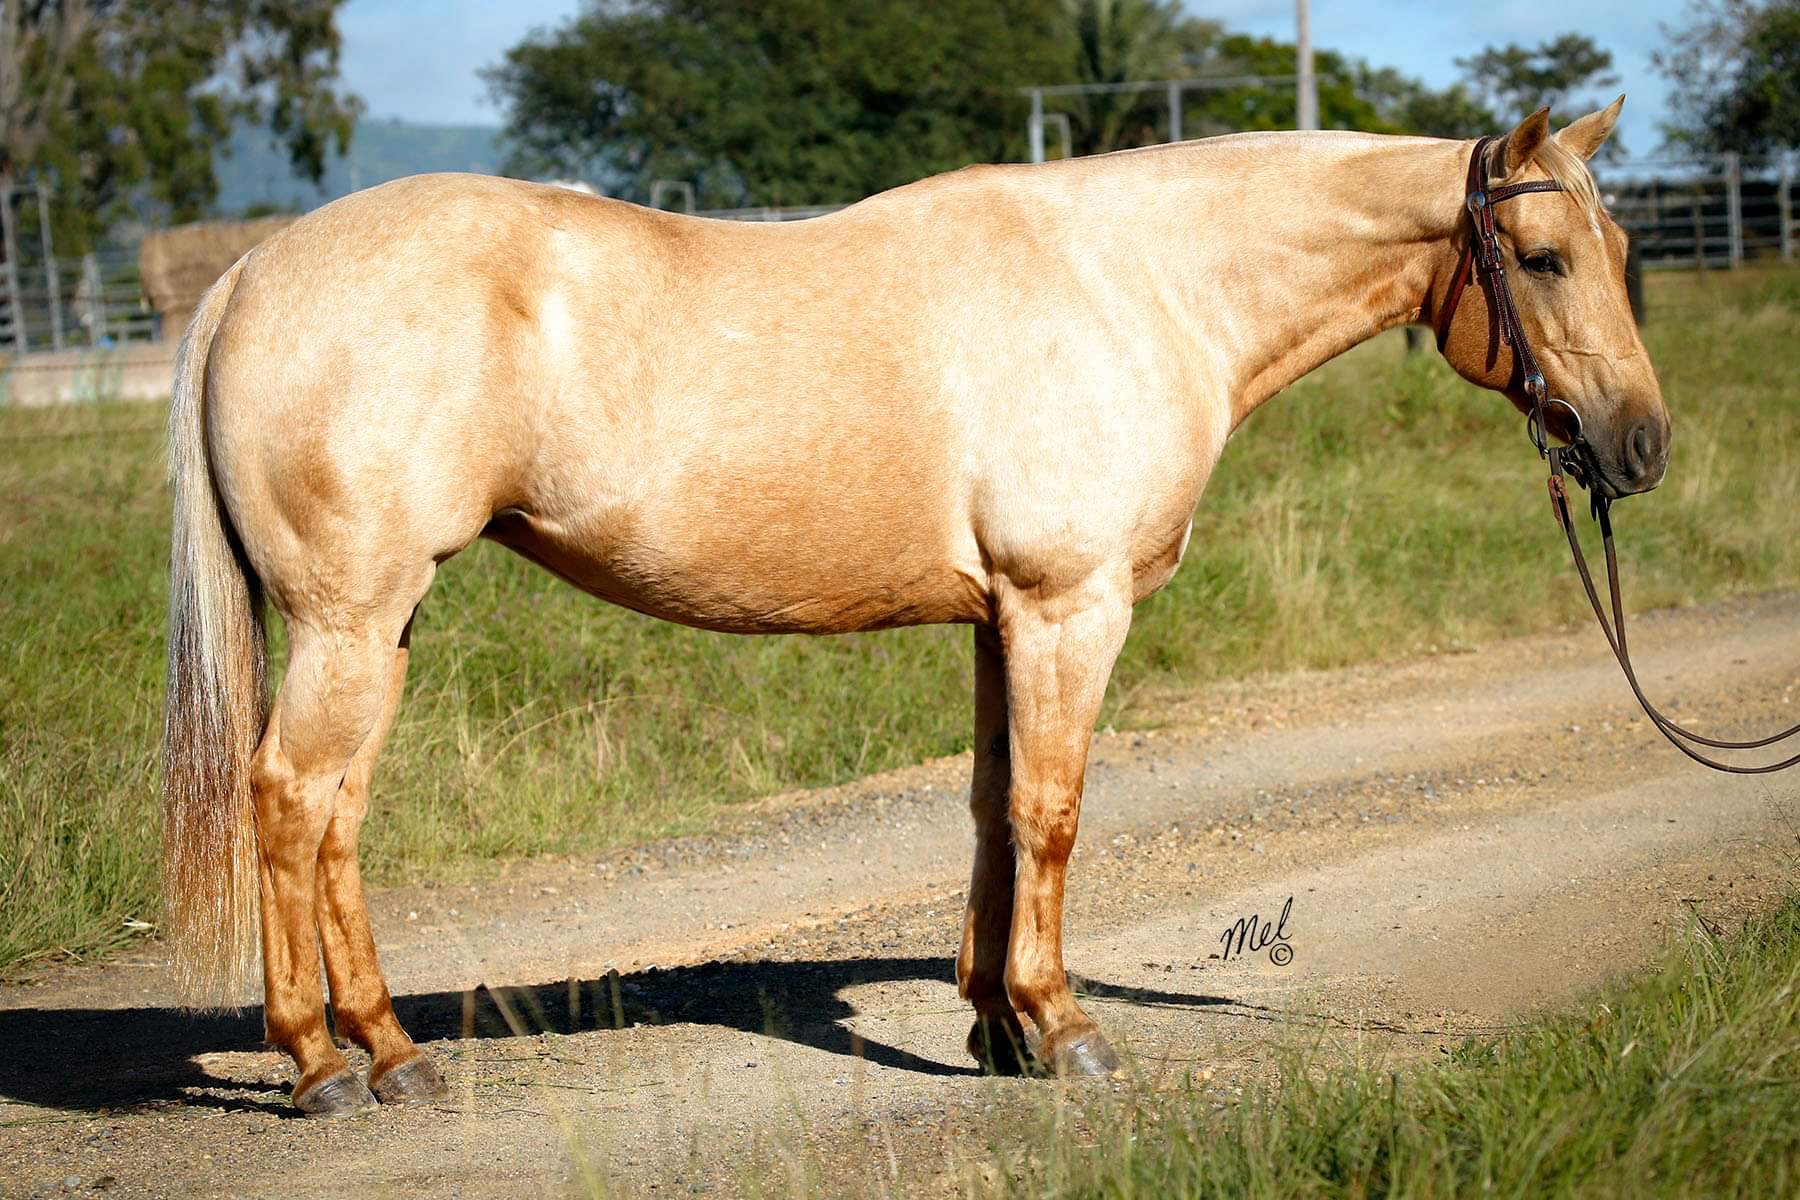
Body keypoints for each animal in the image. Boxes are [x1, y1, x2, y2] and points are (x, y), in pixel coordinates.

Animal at [162, 99, 1667, 1115]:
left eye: (1620, 242)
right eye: (1541, 256)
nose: (1641, 446)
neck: (1139, 285)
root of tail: (246, 276)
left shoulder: (1005, 619)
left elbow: (995, 809)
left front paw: (996, 1028)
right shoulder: (1069, 609)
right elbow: (1054, 814)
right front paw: (1066, 1032)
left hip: (380, 629)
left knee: (336, 817)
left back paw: (391, 1052)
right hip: (351, 625)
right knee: (288, 802)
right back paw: (318, 1064)